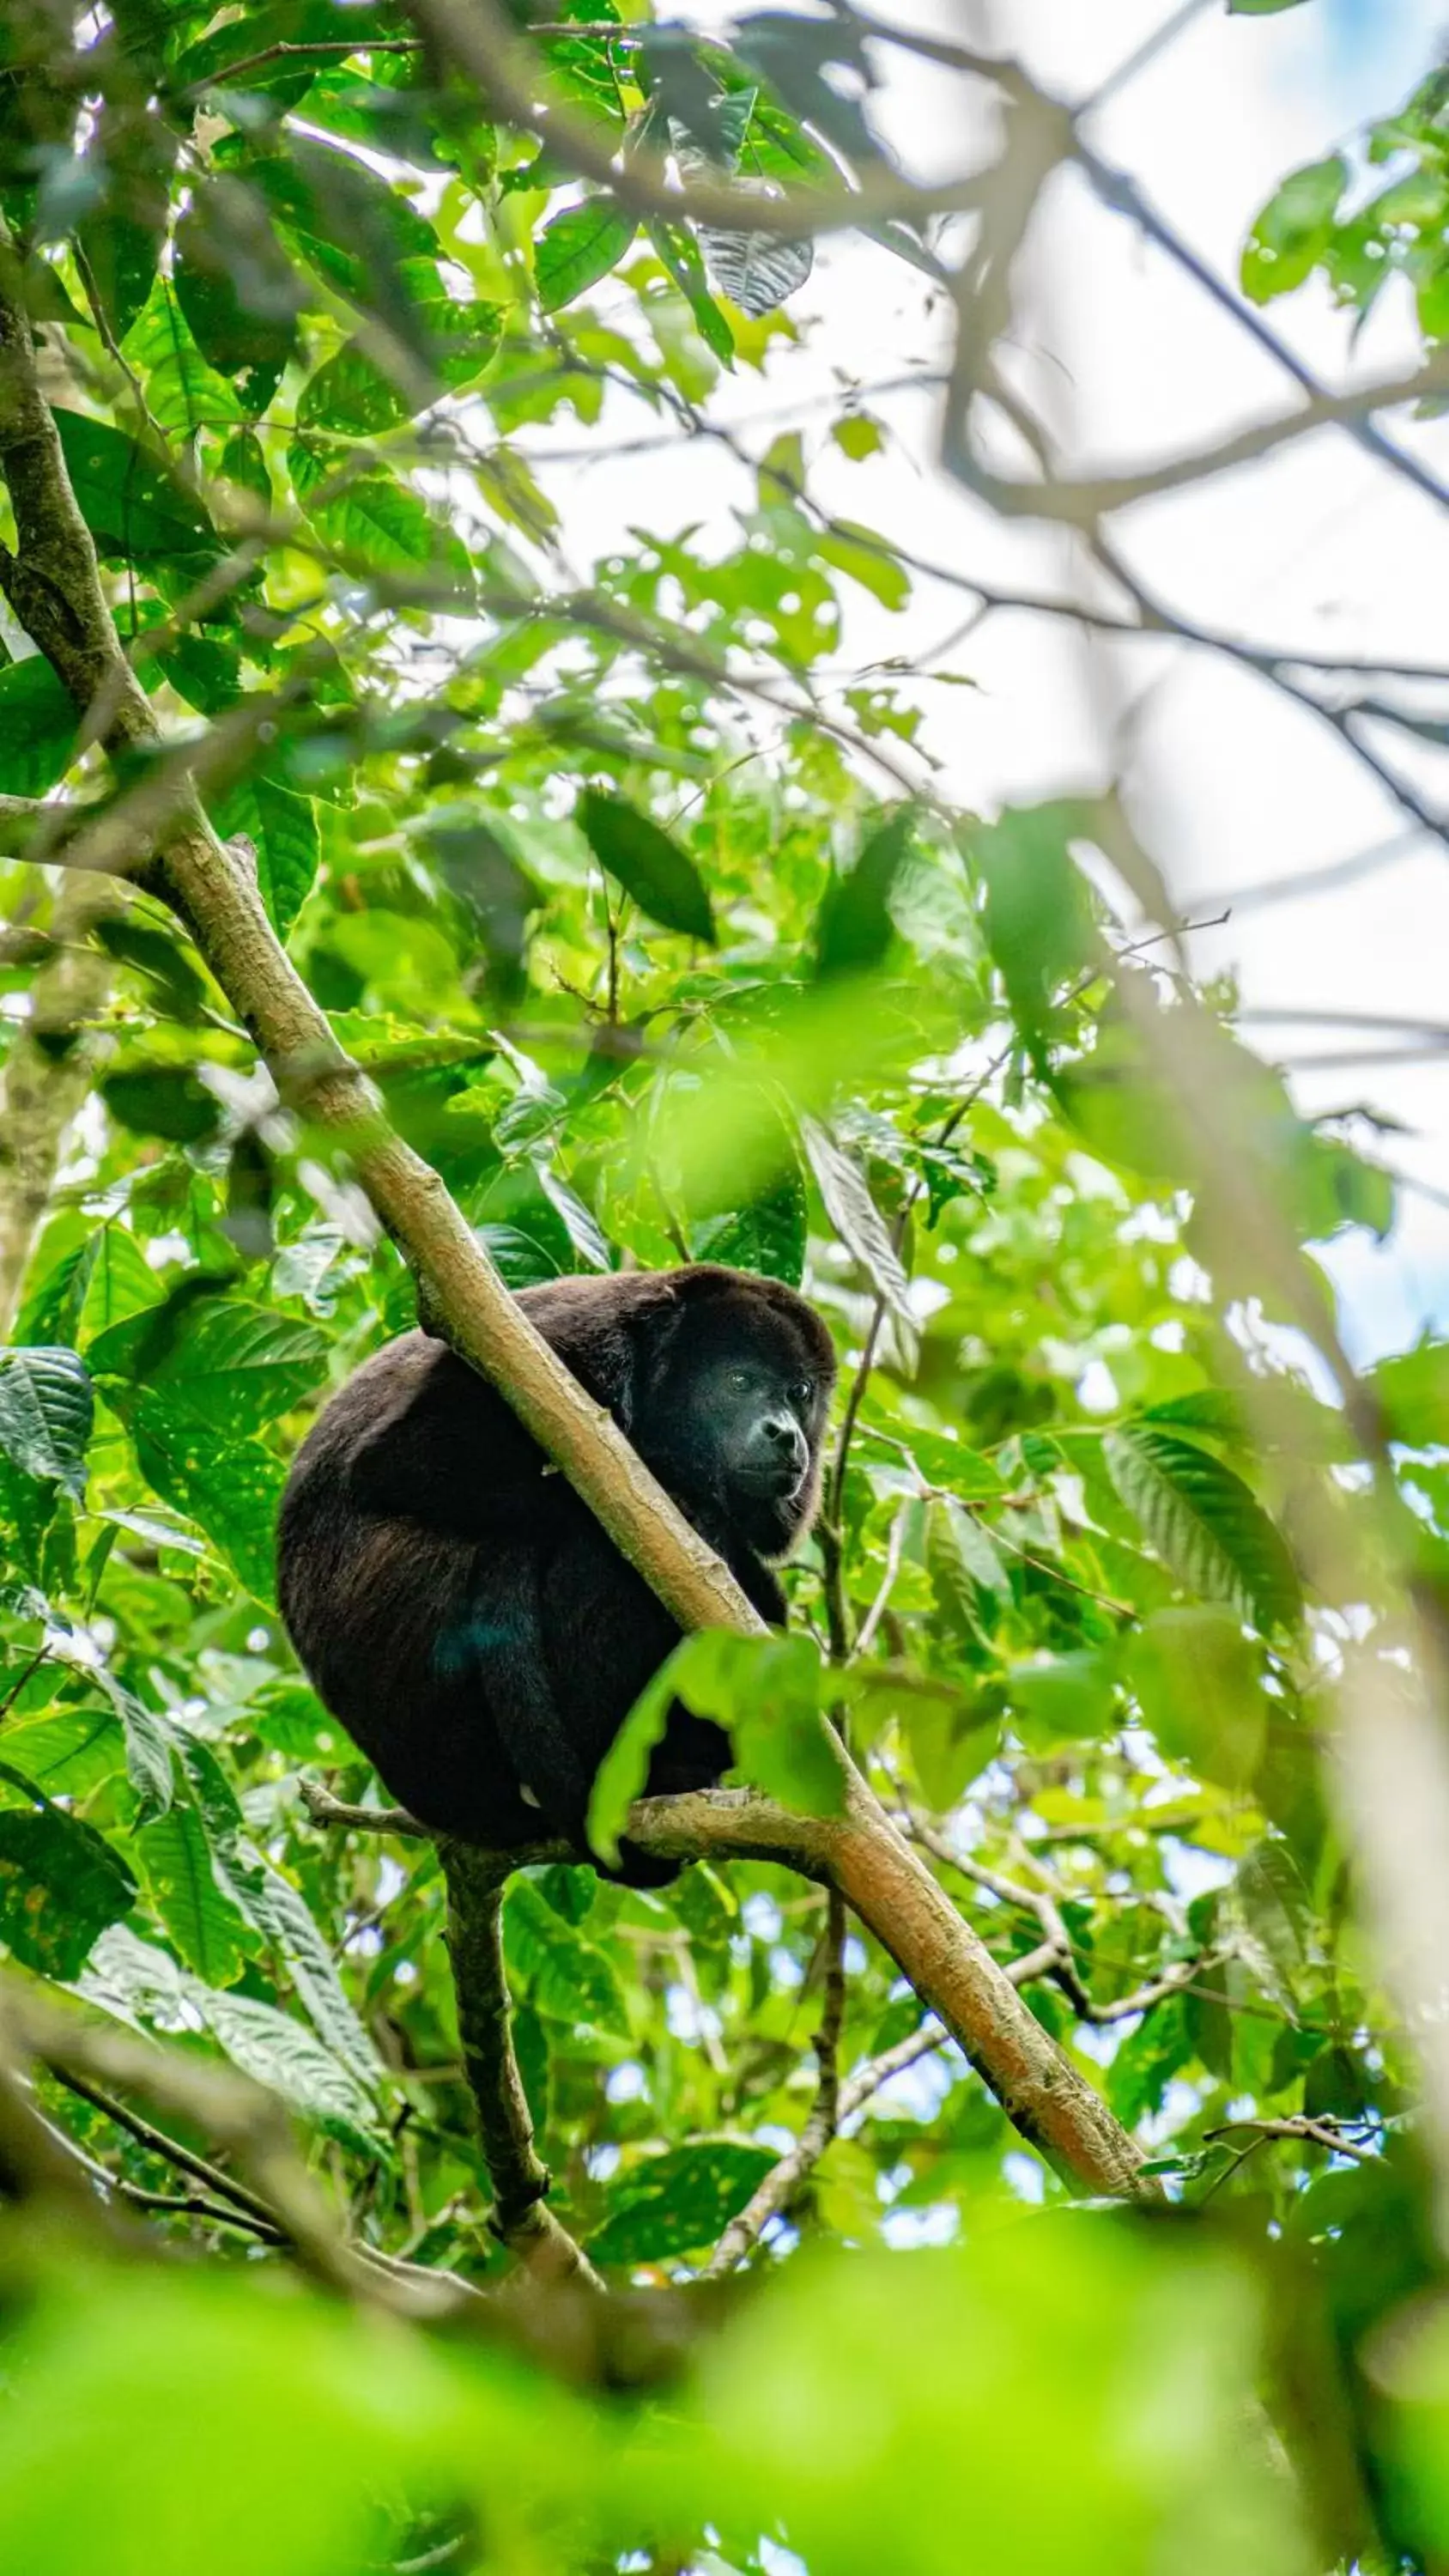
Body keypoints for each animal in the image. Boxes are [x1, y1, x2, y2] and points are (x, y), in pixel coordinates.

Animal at [276, 1273, 834, 1896]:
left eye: (800, 1393)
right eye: (740, 1382)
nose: (787, 1435)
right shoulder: (571, 1351)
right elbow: (399, 1459)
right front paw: (681, 1488)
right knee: (601, 1552)